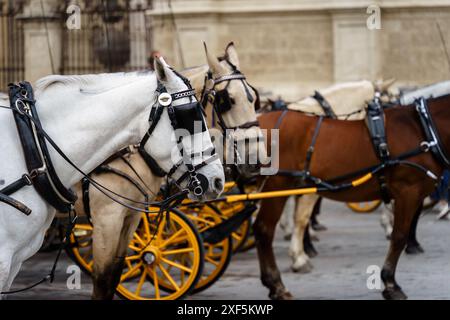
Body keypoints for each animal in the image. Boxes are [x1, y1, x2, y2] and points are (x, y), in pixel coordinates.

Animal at [0, 56, 224, 296]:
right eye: (191, 116)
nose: (218, 180)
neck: (34, 146)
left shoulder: (130, 216)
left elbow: (113, 276)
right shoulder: (108, 217)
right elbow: (103, 278)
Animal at [253, 92, 450, 300]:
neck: (424, 128)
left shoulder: (412, 194)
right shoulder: (408, 191)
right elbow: (399, 236)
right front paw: (390, 283)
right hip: (277, 187)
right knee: (264, 230)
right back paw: (277, 284)